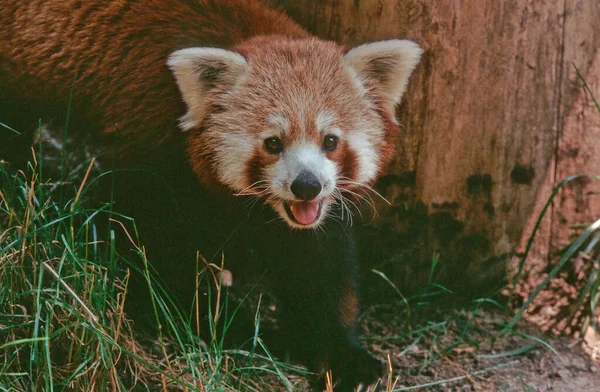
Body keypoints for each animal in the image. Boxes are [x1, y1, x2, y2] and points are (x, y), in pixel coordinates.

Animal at [1, 1, 422, 390]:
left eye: (330, 141)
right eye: (273, 143)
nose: (306, 185)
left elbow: (318, 265)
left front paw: (344, 356)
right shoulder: (154, 147)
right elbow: (158, 253)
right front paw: (234, 327)